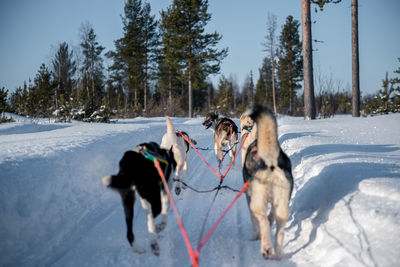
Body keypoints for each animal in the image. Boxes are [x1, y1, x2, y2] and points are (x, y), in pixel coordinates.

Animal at [241, 105, 294, 260]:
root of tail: (270, 162)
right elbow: (271, 217)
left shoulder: (249, 199)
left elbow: (256, 223)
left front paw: (254, 237)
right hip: (282, 206)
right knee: (279, 231)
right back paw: (277, 255)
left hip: (257, 203)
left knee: (263, 221)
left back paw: (266, 247)